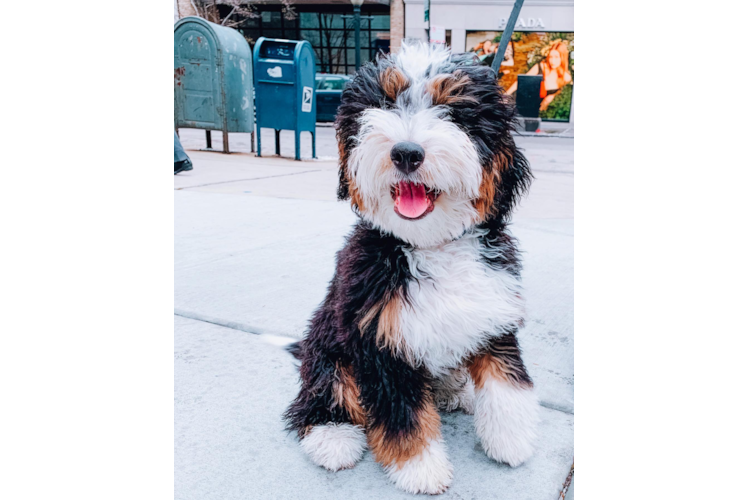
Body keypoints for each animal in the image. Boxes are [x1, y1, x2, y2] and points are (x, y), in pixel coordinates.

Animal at [284, 41, 536, 494]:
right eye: (384, 104)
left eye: (452, 112)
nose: (406, 152)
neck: (431, 245)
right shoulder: (379, 338)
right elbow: (403, 414)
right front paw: (420, 468)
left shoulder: (493, 312)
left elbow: (506, 379)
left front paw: (512, 437)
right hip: (328, 346)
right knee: (323, 391)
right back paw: (332, 436)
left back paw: (453, 390)